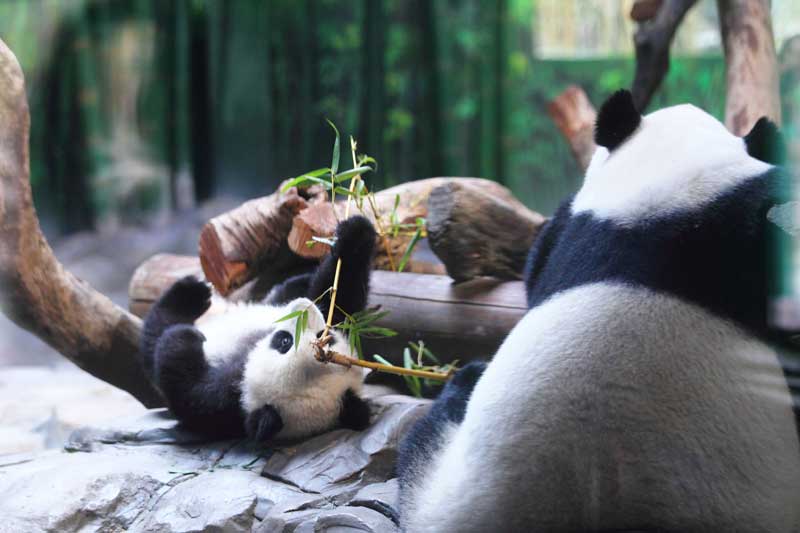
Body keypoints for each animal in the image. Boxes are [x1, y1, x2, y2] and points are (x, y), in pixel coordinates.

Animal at [141, 215, 378, 440]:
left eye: (284, 341)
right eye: (324, 336)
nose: (304, 307)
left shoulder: (220, 401)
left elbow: (178, 374)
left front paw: (182, 337)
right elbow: (337, 300)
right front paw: (355, 234)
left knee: (155, 334)